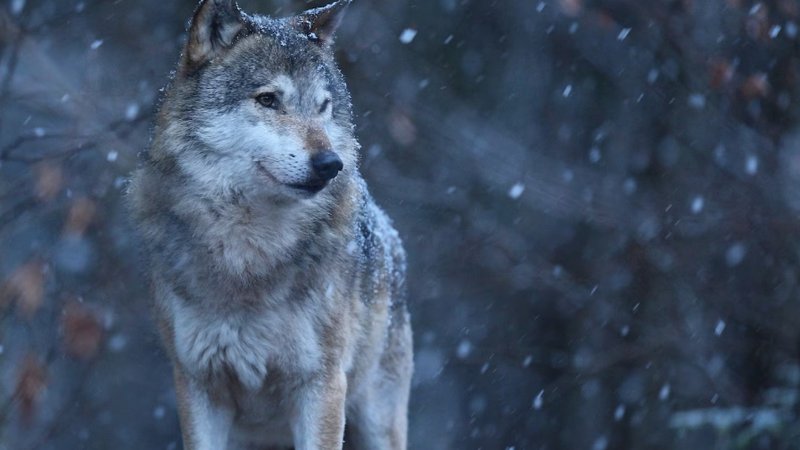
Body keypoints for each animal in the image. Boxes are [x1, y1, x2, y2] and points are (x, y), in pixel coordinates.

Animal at [126, 1, 412, 449]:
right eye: (268, 100)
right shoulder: (197, 385)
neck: (248, 253)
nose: (331, 164)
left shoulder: (321, 386)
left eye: (323, 106)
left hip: (378, 419)